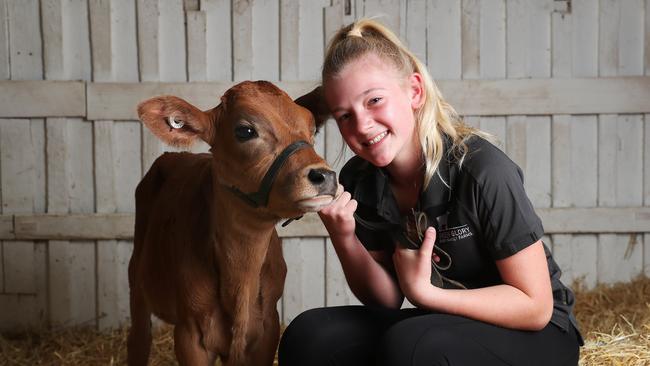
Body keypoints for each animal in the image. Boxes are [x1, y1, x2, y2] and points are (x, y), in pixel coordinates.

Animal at [130, 81, 336, 364]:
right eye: (245, 130)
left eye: (313, 128)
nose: (324, 175)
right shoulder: (189, 335)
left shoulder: (267, 329)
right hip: (136, 278)